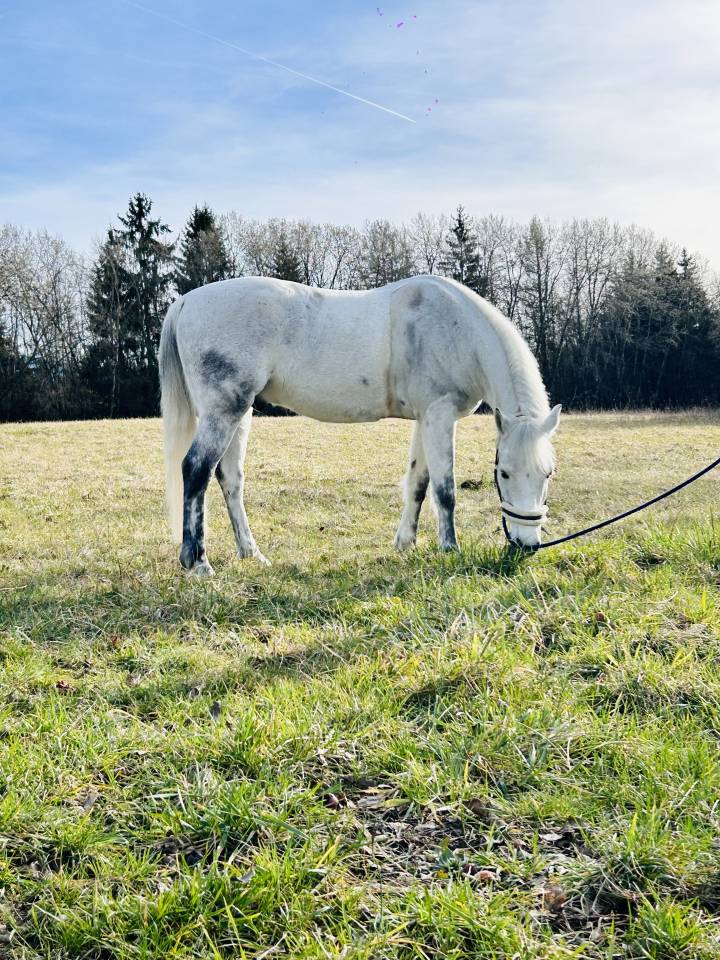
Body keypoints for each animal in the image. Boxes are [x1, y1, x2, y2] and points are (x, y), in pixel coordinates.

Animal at [159, 274, 561, 575]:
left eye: (548, 473)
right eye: (504, 473)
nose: (526, 545)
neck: (456, 328)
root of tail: (186, 301)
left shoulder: (427, 418)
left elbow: (418, 483)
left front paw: (405, 544)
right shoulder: (440, 415)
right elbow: (444, 490)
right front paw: (450, 550)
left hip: (238, 413)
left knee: (229, 479)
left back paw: (251, 554)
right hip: (222, 411)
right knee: (196, 470)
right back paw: (198, 562)